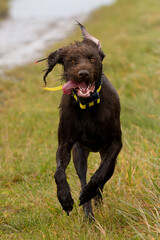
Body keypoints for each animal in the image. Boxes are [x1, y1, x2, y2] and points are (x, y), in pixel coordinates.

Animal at [42, 22, 122, 219]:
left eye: (92, 59)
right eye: (71, 61)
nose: (83, 73)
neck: (88, 106)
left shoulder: (115, 143)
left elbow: (100, 174)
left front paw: (90, 191)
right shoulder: (65, 144)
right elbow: (59, 173)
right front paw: (64, 198)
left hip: (107, 156)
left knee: (102, 177)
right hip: (79, 153)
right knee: (82, 178)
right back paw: (88, 216)